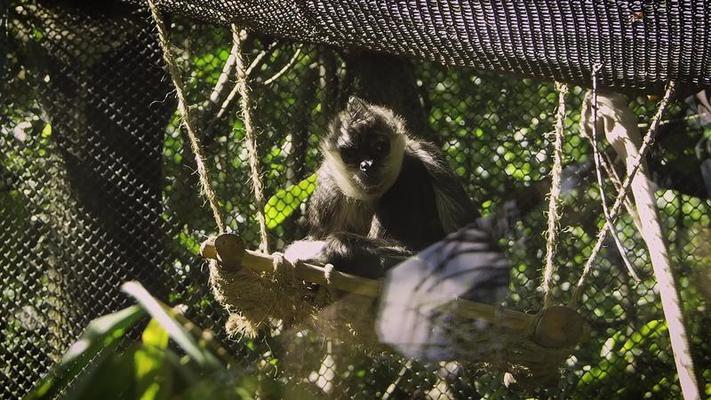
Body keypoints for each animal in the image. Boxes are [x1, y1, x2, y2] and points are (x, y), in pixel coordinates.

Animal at [284, 97, 478, 278]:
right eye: (351, 153)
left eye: (379, 147)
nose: (367, 165)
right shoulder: (328, 186)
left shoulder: (425, 156)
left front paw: (333, 250)